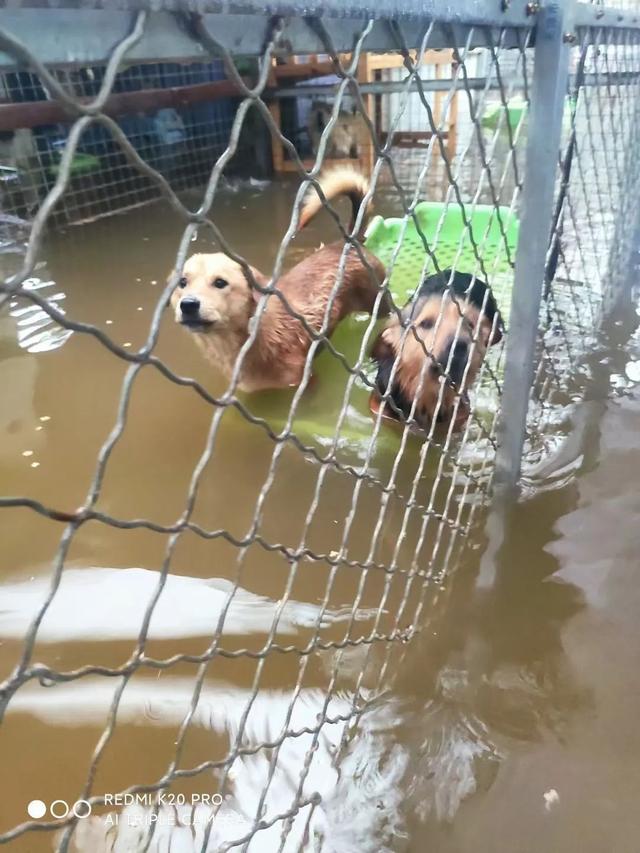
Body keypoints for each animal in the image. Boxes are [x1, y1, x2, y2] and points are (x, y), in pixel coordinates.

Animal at [170, 171, 388, 396]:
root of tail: (348, 243)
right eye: (182, 282)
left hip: (379, 302)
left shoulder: (305, 382)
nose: (188, 304)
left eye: (220, 282)